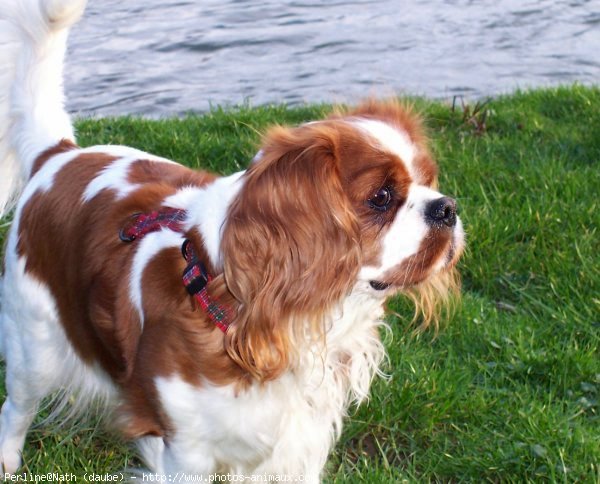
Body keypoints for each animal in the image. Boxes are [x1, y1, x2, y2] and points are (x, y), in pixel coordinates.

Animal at [0, 0, 464, 478]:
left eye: (429, 180)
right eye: (381, 197)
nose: (447, 208)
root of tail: (59, 155)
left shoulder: (301, 441)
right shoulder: (188, 452)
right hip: (32, 344)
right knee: (15, 407)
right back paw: (8, 459)